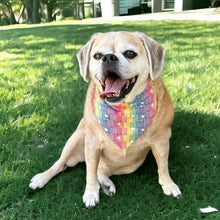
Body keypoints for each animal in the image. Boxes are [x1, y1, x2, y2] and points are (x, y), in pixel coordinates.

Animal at [28, 31, 180, 208]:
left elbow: (162, 165)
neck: (122, 110)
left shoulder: (161, 141)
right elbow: (89, 174)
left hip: (128, 165)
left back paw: (107, 184)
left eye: (130, 53)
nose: (108, 57)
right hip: (76, 139)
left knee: (100, 171)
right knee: (62, 164)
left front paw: (168, 184)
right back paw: (41, 178)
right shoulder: (92, 144)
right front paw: (91, 193)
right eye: (97, 55)